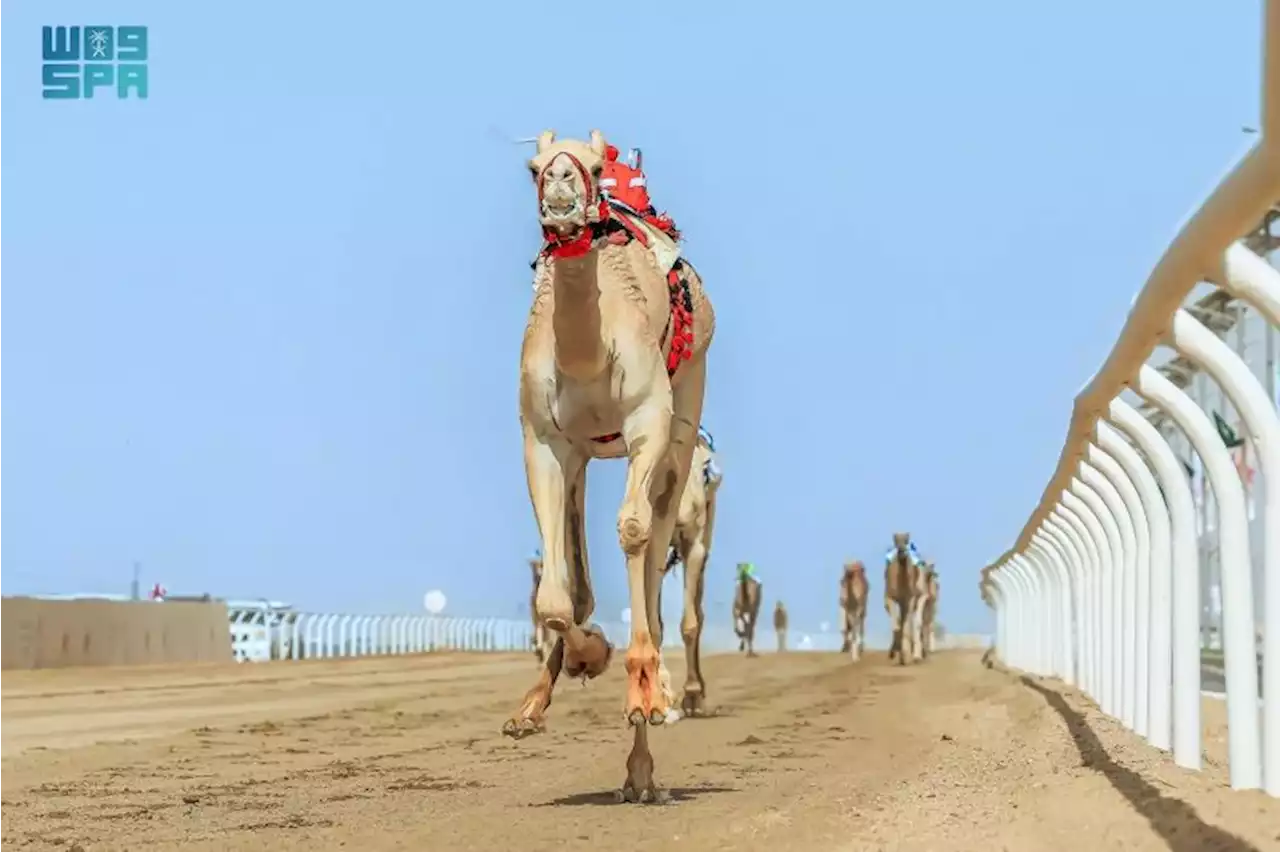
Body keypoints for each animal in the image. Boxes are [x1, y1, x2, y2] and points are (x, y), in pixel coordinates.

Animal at [504, 127, 716, 803]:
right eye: (533, 167)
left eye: (597, 168)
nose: (561, 188)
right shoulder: (545, 441)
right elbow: (556, 596)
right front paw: (584, 658)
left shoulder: (649, 420)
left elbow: (634, 534)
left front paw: (646, 690)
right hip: (586, 459)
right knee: (583, 577)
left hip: (682, 423)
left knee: (651, 554)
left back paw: (651, 726)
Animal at [885, 532, 926, 665]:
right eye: (895, 540)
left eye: (906, 540)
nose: (901, 551)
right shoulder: (889, 598)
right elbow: (897, 625)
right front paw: (895, 653)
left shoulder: (909, 599)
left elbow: (906, 624)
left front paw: (905, 655)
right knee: (902, 622)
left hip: (921, 596)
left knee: (915, 623)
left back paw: (916, 656)